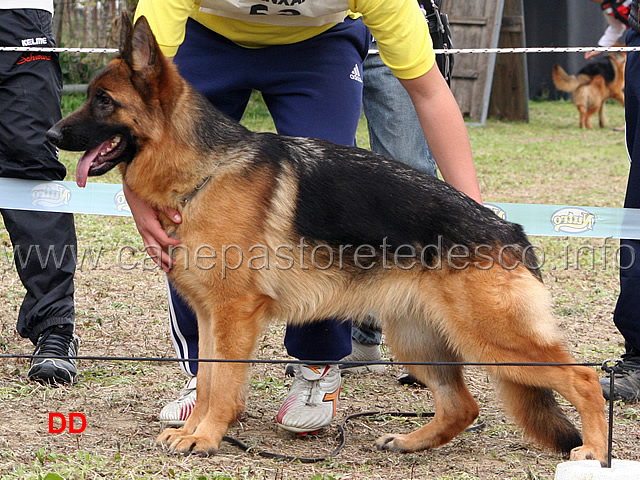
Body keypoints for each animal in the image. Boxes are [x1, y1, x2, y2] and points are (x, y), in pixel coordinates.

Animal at [47, 15, 608, 464]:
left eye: (103, 101)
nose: (50, 136)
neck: (206, 170)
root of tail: (507, 229)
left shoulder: (233, 316)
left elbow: (222, 386)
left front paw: (204, 437)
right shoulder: (210, 317)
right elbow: (205, 381)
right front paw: (196, 428)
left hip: (493, 340)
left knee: (583, 379)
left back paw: (593, 452)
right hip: (418, 340)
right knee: (462, 406)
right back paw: (409, 442)